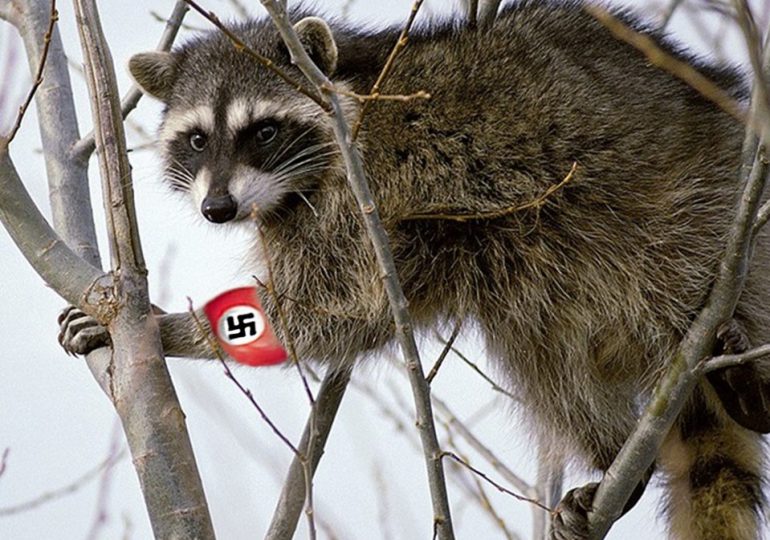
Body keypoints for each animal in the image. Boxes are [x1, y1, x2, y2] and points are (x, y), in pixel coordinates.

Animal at [59, 1, 770, 537]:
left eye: (262, 131)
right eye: (198, 138)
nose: (217, 208)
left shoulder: (363, 193)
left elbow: (328, 309)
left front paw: (168, 327)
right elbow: (345, 319)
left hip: (697, 207)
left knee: (672, 269)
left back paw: (747, 383)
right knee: (541, 352)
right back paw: (615, 451)